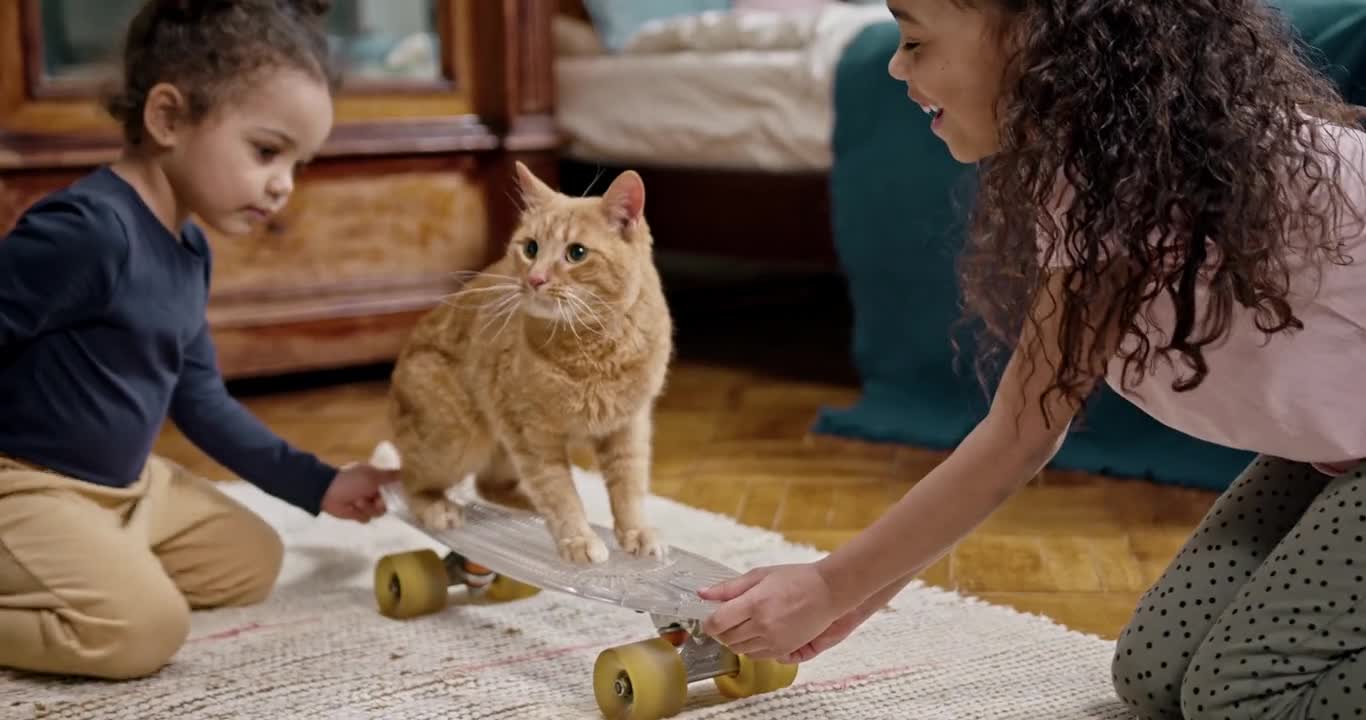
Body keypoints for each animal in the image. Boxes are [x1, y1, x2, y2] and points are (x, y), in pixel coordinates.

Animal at [377, 161, 674, 562]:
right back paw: (437, 507)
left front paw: (636, 531)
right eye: (531, 248)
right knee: (408, 480)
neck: (591, 348)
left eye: (577, 253)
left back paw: (529, 509)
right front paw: (578, 538)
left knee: (489, 484)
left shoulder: (628, 425)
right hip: (456, 440)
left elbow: (628, 486)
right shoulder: (531, 434)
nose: (535, 279)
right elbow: (560, 493)